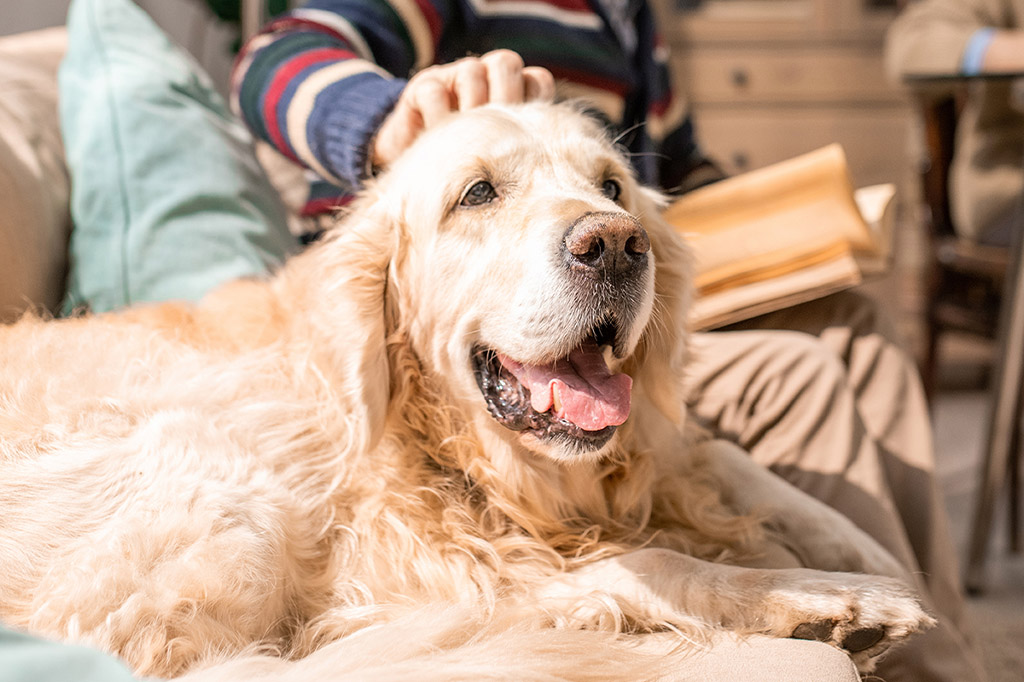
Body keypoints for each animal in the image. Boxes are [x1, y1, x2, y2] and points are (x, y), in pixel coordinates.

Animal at [0, 102, 933, 679]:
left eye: (612, 187)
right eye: (477, 193)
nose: (616, 244)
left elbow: (724, 463)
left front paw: (867, 551)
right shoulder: (391, 568)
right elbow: (650, 559)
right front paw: (814, 594)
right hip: (221, 473)